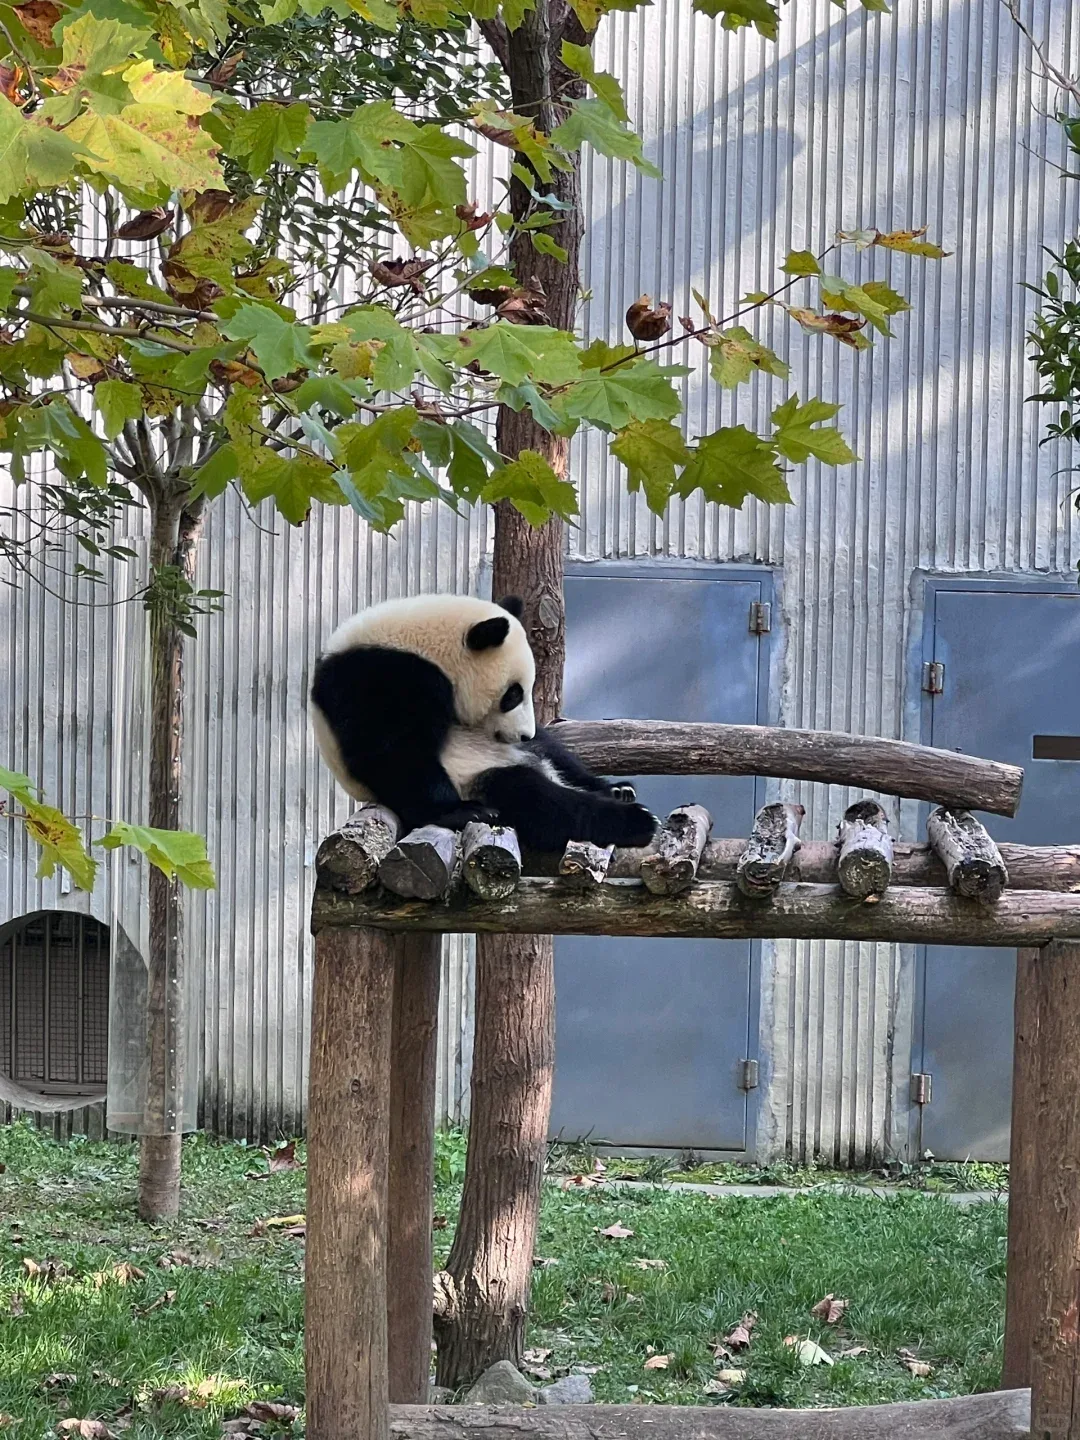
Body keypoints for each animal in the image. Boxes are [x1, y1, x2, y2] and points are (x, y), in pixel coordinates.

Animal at [309, 592, 659, 854]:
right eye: (513, 694)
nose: (524, 734)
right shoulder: (376, 677)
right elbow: (393, 754)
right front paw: (461, 811)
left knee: (556, 759)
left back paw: (617, 791)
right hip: (477, 776)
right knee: (531, 796)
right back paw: (634, 821)